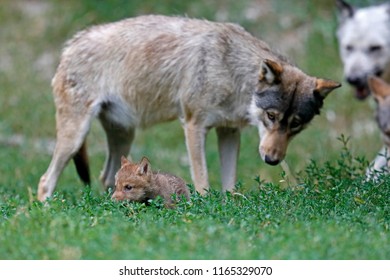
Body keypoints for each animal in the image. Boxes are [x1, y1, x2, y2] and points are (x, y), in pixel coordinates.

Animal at [37, 14, 342, 200]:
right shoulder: (194, 126)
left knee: (107, 177)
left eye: (296, 125)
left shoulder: (229, 132)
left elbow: (229, 185)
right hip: (75, 137)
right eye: (271, 116)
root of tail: (71, 43)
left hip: (123, 136)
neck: (231, 72)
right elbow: (203, 182)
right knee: (45, 180)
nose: (272, 160)